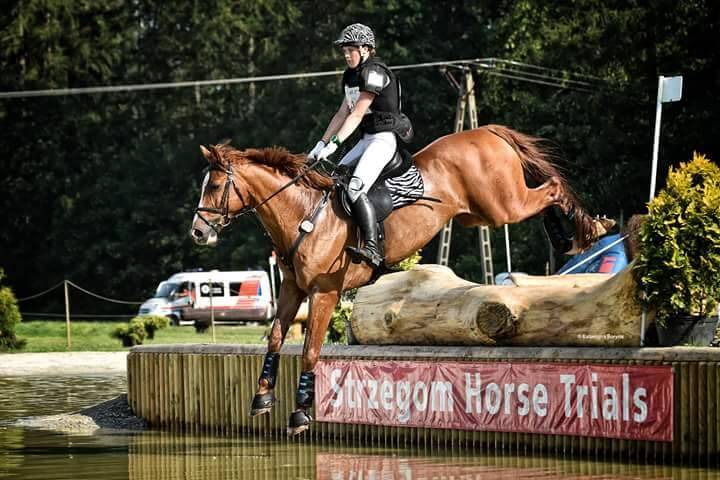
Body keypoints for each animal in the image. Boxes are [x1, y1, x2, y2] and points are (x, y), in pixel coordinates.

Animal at [189, 125, 610, 435]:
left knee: (551, 187)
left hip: (501, 205)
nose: (197, 233)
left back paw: (584, 231)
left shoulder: (324, 292)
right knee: (543, 192)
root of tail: (486, 130)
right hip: (478, 214)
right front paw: (262, 398)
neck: (304, 214)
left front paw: (301, 415)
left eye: (215, 187)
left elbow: (310, 350)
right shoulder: (294, 288)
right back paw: (568, 236)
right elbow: (276, 337)